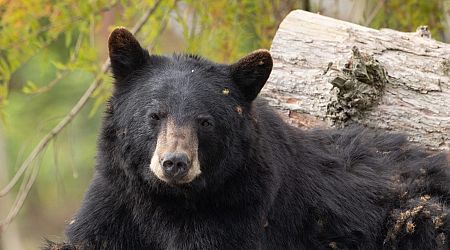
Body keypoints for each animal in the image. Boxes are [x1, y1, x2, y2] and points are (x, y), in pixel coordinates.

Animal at [45, 28, 450, 249]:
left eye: (205, 122)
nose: (174, 163)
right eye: (154, 115)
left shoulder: (237, 212)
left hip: (421, 214)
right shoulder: (117, 198)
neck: (167, 201)